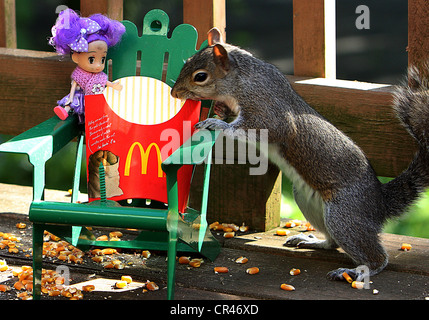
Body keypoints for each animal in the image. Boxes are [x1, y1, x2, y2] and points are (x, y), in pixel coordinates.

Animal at [170, 28, 428, 282]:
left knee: (376, 257)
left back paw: (358, 270)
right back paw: (312, 241)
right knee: (333, 242)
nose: (174, 93)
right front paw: (220, 110)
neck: (243, 79)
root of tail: (379, 204)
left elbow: (260, 128)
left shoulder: (266, 110)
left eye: (200, 76)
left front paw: (216, 122)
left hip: (344, 214)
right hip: (308, 200)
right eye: (187, 62)